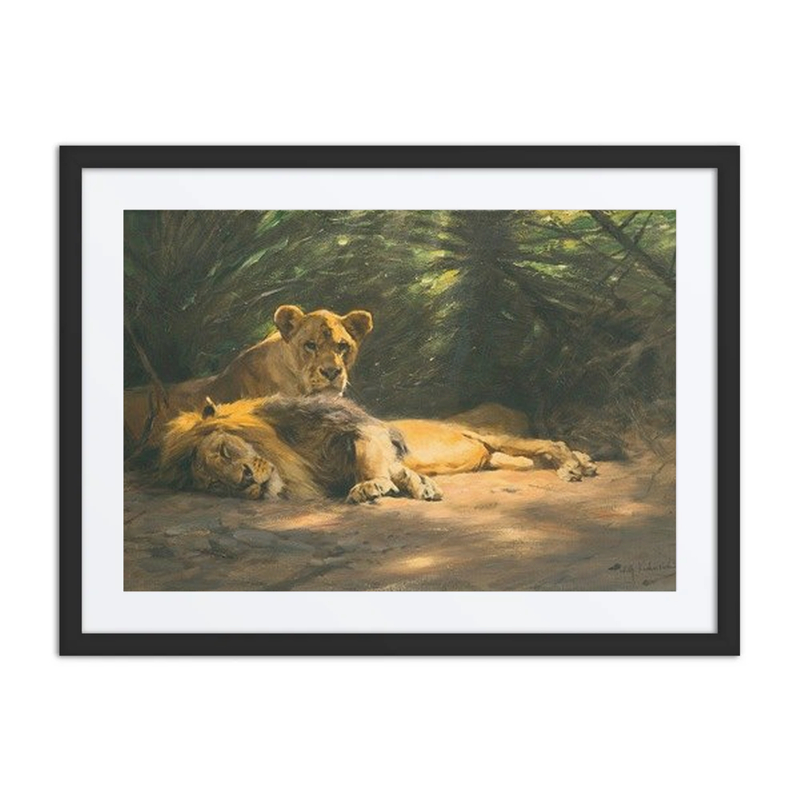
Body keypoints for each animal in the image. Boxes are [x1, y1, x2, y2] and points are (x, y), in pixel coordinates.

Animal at [158, 394, 443, 504]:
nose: (245, 480)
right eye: (216, 484)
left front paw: (372, 483)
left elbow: (371, 455)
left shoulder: (347, 421)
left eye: (225, 451)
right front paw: (418, 483)